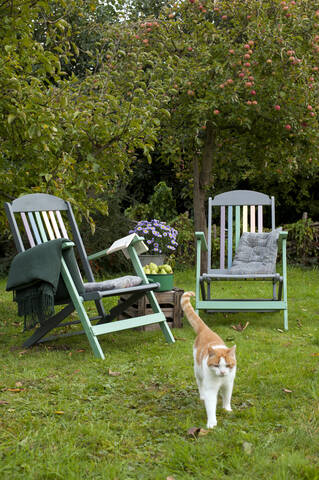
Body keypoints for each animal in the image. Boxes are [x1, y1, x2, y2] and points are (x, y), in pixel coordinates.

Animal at [181, 290, 236, 430]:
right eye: (216, 365)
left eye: (227, 365)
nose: (222, 372)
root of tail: (206, 330)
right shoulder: (210, 389)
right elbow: (211, 406)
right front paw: (211, 422)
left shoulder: (228, 384)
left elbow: (227, 397)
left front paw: (227, 409)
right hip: (198, 372)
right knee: (200, 384)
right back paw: (202, 396)